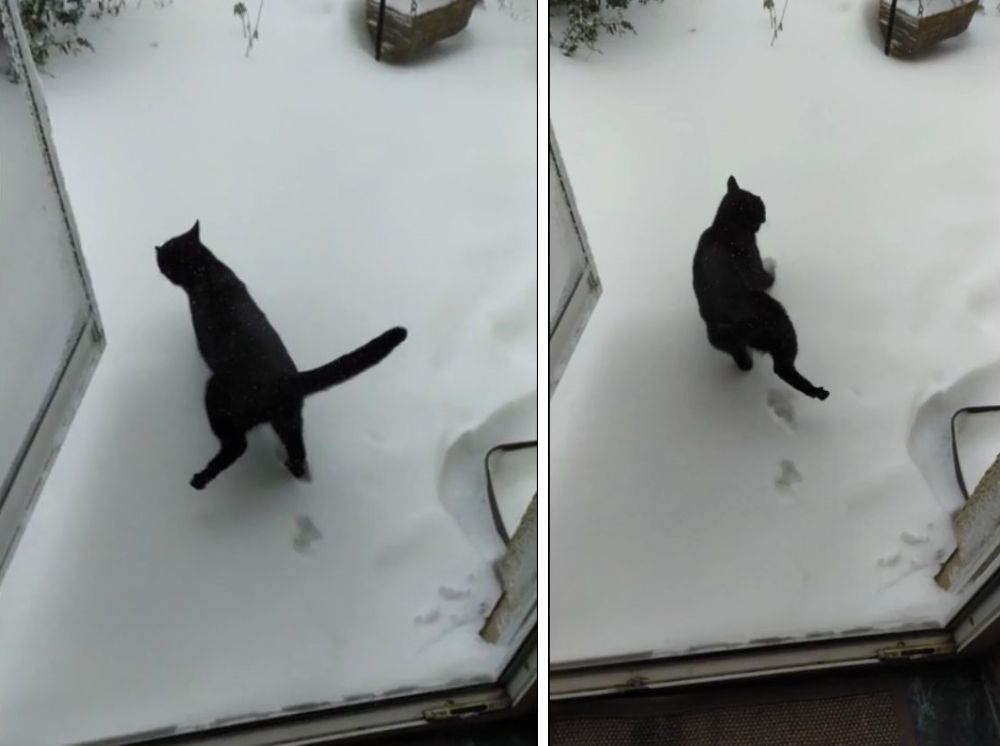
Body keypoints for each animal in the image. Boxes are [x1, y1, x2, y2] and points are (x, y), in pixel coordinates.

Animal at [156, 221, 406, 488]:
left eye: (165, 255)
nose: (155, 251)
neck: (207, 271)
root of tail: (289, 381)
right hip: (289, 420)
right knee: (298, 455)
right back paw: (293, 472)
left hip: (218, 395)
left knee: (237, 446)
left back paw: (200, 479)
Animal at [696, 176, 828, 402]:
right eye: (760, 206)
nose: (765, 216)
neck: (723, 227)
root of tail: (730, 323)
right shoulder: (754, 265)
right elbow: (765, 278)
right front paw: (773, 273)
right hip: (780, 322)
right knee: (782, 368)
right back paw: (818, 392)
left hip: (728, 343)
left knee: (744, 362)